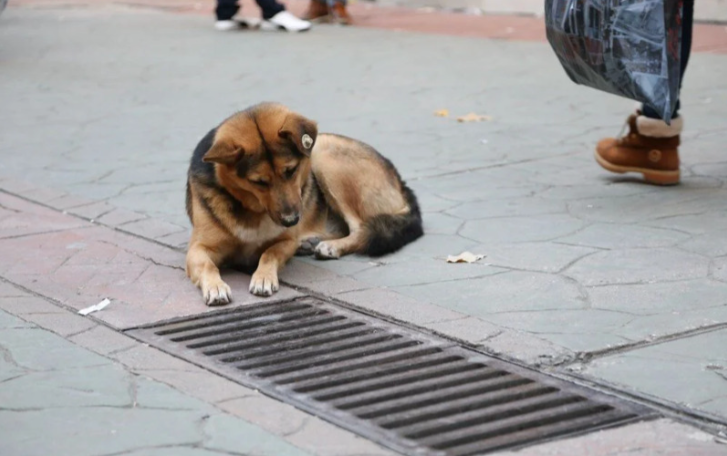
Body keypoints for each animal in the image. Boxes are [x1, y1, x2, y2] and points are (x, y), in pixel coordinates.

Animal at [185, 102, 423, 305]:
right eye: (259, 182)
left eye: (291, 171)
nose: (292, 220)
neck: (253, 209)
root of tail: (401, 182)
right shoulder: (198, 249)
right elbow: (207, 265)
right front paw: (215, 287)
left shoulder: (286, 241)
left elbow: (269, 253)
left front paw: (263, 277)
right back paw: (311, 242)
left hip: (322, 154)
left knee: (359, 228)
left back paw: (331, 247)